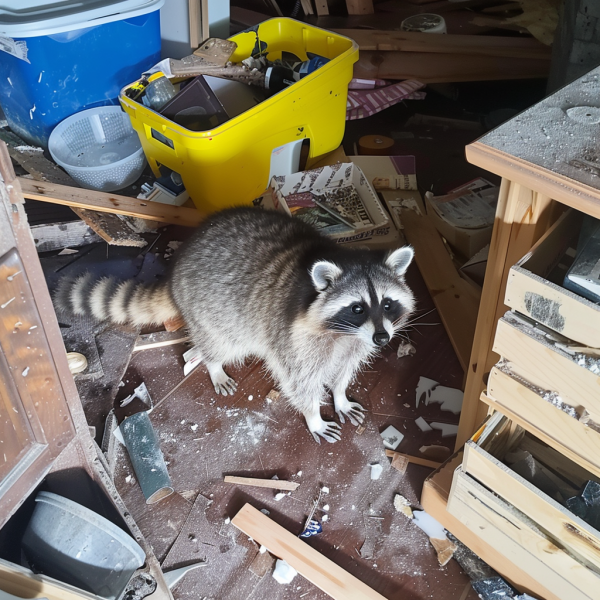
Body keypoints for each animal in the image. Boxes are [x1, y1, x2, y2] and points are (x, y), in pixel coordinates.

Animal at [55, 207, 415, 443]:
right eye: (357, 308)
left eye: (387, 304)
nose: (382, 338)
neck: (342, 333)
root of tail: (176, 270)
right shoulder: (293, 338)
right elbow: (300, 381)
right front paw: (314, 415)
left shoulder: (354, 344)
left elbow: (343, 370)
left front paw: (339, 395)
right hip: (213, 312)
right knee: (221, 343)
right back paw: (212, 363)